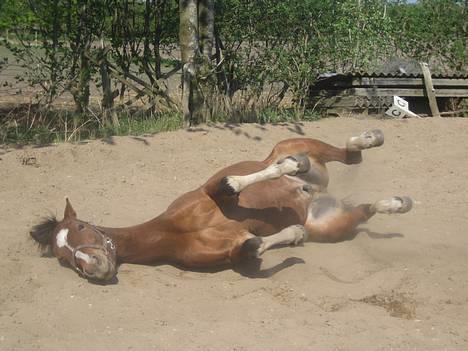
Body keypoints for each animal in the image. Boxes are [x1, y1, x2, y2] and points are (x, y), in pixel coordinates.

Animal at [30, 130, 410, 284]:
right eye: (65, 259)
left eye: (81, 227)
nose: (92, 267)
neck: (174, 230)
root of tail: (319, 196)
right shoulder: (233, 254)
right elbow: (254, 245)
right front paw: (294, 234)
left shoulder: (214, 193)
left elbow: (231, 184)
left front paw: (290, 168)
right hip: (334, 227)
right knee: (366, 205)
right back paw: (399, 203)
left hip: (295, 141)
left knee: (348, 153)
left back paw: (366, 140)